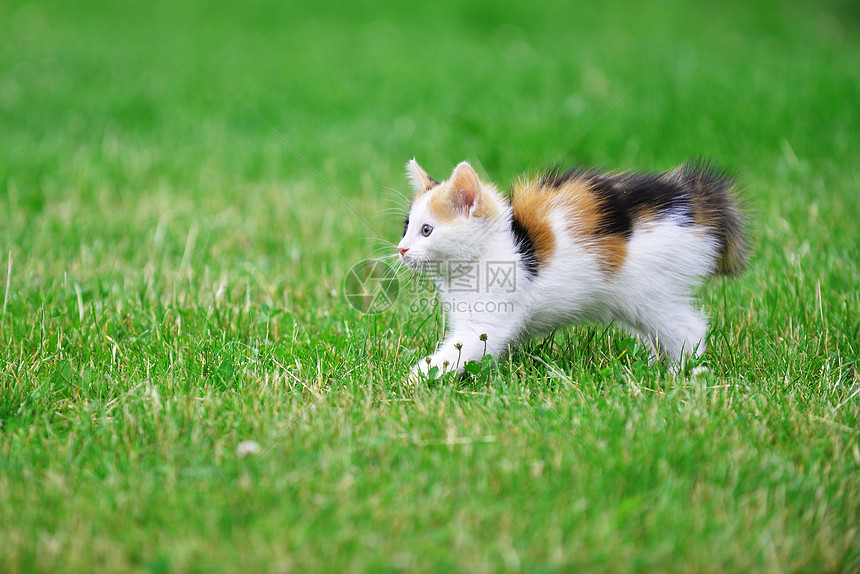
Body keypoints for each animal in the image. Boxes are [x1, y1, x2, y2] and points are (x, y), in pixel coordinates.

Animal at [396, 160, 744, 380]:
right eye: (406, 227)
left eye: (427, 230)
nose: (401, 249)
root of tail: (692, 201)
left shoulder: (484, 322)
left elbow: (459, 351)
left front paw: (413, 380)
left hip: (651, 292)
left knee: (688, 329)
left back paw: (678, 375)